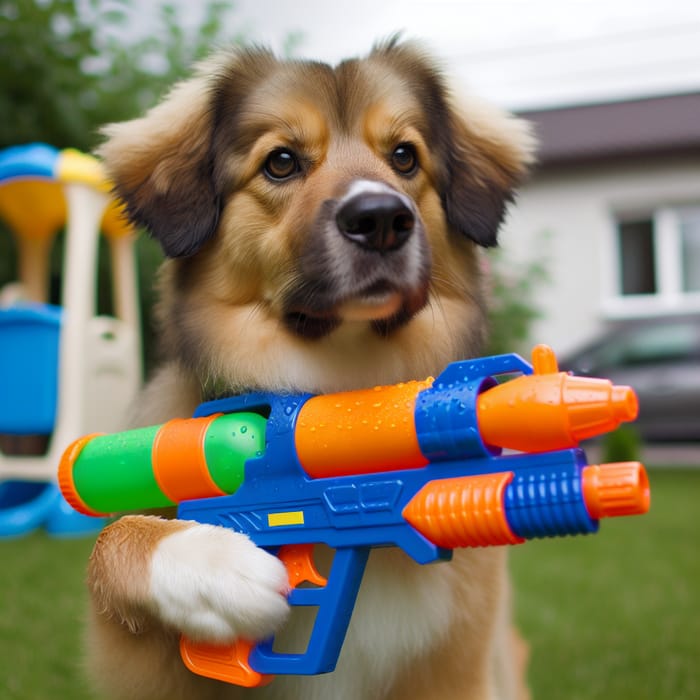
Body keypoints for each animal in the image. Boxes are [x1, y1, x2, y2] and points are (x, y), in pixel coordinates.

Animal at [89, 39, 536, 700]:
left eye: (404, 156)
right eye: (280, 162)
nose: (382, 219)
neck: (339, 388)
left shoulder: (457, 665)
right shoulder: (138, 666)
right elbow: (111, 537)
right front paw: (215, 565)